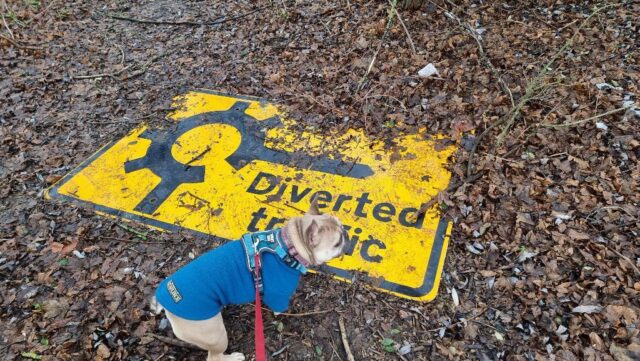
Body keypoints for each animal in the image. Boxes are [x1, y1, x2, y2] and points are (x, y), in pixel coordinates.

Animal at [150, 197, 348, 360]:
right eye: (337, 242)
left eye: (342, 226)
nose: (346, 233)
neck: (289, 246)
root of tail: (164, 301)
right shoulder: (278, 294)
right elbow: (279, 309)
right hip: (215, 334)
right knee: (214, 356)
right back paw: (234, 357)